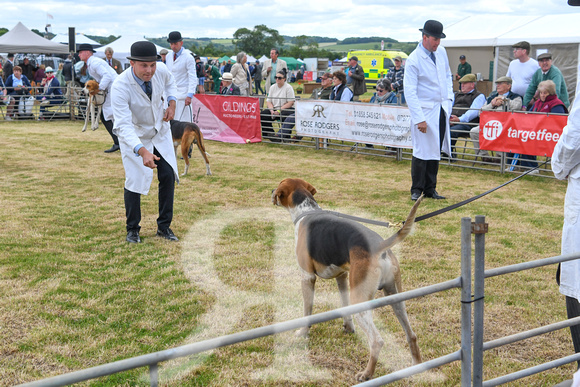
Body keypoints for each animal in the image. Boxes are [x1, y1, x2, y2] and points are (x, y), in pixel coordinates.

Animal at [272, 179, 422, 382]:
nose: (271, 191)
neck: (306, 210)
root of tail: (380, 246)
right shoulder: (342, 277)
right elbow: (344, 308)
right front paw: (348, 328)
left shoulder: (307, 277)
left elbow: (307, 310)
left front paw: (303, 333)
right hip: (395, 298)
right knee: (411, 334)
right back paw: (417, 367)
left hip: (361, 302)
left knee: (377, 341)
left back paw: (366, 374)